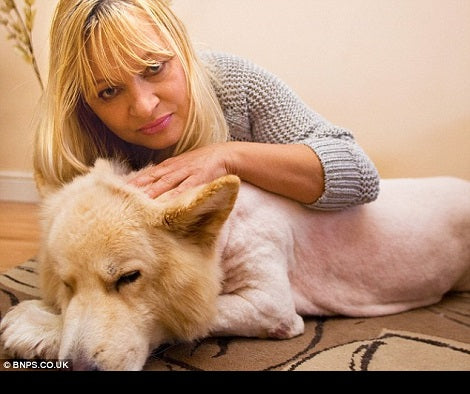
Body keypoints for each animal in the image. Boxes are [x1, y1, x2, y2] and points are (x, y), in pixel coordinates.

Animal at [0, 158, 470, 370]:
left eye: (129, 278)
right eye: (67, 285)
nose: (79, 368)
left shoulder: (271, 305)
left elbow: (185, 317)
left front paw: (34, 328)